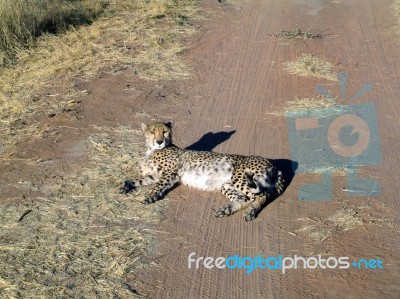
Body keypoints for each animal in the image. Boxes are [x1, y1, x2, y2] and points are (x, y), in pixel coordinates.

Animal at [120, 120, 286, 221]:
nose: (160, 141)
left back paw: (250, 212)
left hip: (240, 177)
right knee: (244, 199)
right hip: (226, 185)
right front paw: (126, 185)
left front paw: (150, 196)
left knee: (261, 196)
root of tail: (273, 165)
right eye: (153, 132)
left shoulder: (170, 173)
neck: (152, 150)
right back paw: (226, 210)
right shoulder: (154, 175)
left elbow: (157, 186)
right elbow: (138, 179)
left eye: (165, 132)